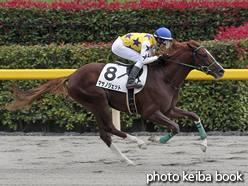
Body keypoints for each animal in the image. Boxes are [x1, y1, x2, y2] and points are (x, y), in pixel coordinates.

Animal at [7, 40, 225, 165]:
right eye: (204, 54)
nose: (221, 70)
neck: (164, 77)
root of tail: (72, 75)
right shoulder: (151, 112)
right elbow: (176, 127)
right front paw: (155, 139)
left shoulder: (169, 109)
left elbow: (194, 116)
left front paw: (204, 145)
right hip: (99, 101)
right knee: (111, 128)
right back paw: (138, 143)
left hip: (93, 105)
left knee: (105, 134)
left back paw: (126, 159)